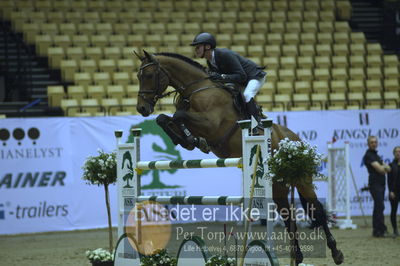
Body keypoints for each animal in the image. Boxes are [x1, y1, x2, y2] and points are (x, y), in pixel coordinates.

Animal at [134, 49, 344, 264]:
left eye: (149, 75)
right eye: (138, 76)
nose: (142, 109)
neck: (196, 89)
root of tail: (295, 140)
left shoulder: (211, 124)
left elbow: (178, 116)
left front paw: (192, 140)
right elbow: (165, 119)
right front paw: (186, 140)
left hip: (301, 179)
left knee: (317, 210)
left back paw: (336, 253)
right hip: (278, 187)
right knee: (288, 216)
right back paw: (298, 256)